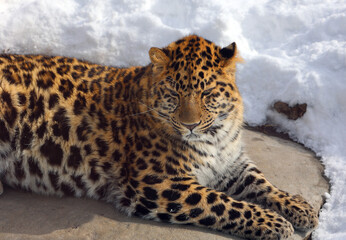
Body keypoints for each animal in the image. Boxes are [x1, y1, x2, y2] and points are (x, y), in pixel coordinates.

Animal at [0, 35, 318, 240]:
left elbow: (261, 181)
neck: (214, 137)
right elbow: (224, 203)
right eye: (174, 93)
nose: (190, 126)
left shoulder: (229, 163)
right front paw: (274, 223)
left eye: (207, 93)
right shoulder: (157, 183)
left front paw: (299, 207)